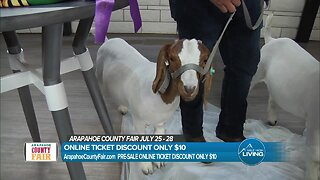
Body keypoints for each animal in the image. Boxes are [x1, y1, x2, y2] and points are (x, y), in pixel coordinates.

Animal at [95, 37, 210, 174]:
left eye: (204, 60)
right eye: (172, 58)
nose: (189, 89)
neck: (159, 97)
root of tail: (109, 40)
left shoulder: (161, 122)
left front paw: (159, 161)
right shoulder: (138, 121)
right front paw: (146, 166)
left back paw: (123, 107)